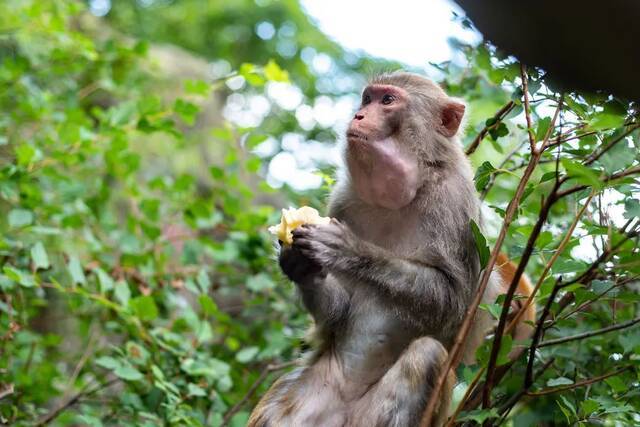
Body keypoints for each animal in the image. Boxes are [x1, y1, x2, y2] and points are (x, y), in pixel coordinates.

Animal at [249, 73, 536, 427]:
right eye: (367, 99)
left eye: (387, 101)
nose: (358, 115)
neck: (400, 198)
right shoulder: (342, 201)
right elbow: (337, 314)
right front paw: (300, 265)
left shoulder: (454, 206)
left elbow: (453, 301)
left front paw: (349, 249)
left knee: (425, 356)